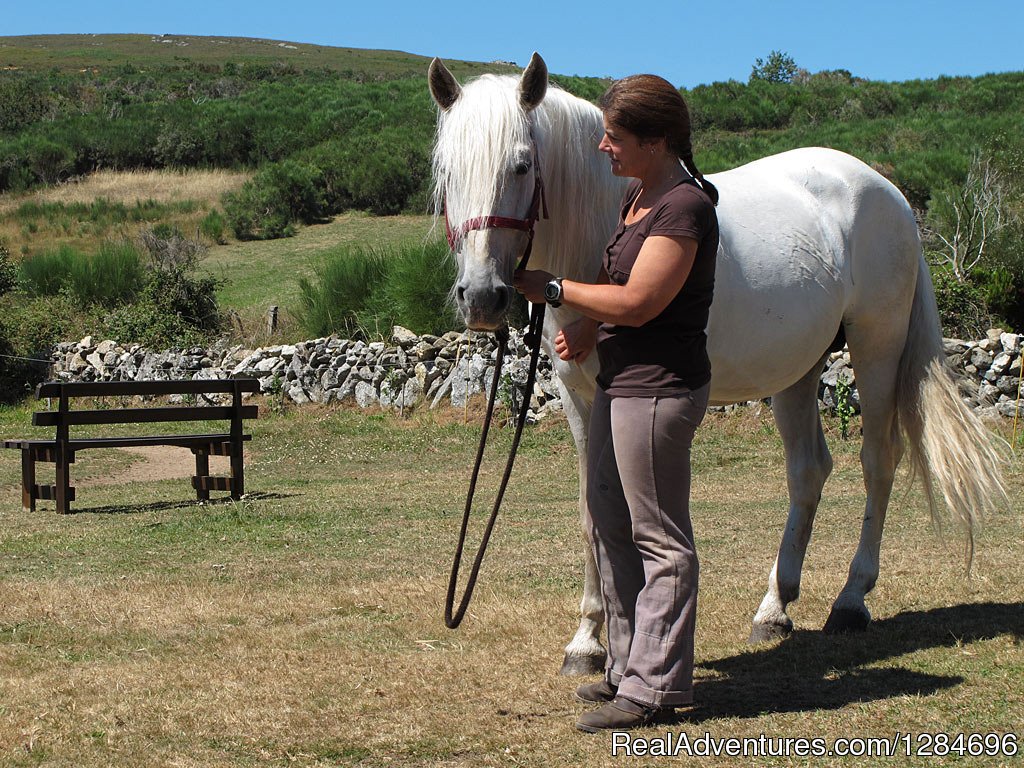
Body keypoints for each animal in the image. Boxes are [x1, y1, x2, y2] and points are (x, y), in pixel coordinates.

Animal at [425, 54, 1007, 675]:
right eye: (446, 174)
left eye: (522, 165)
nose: (481, 298)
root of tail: (887, 192)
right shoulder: (581, 400)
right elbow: (592, 509)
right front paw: (587, 640)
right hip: (796, 370)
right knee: (808, 471)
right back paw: (774, 608)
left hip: (878, 347)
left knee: (878, 461)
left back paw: (851, 601)